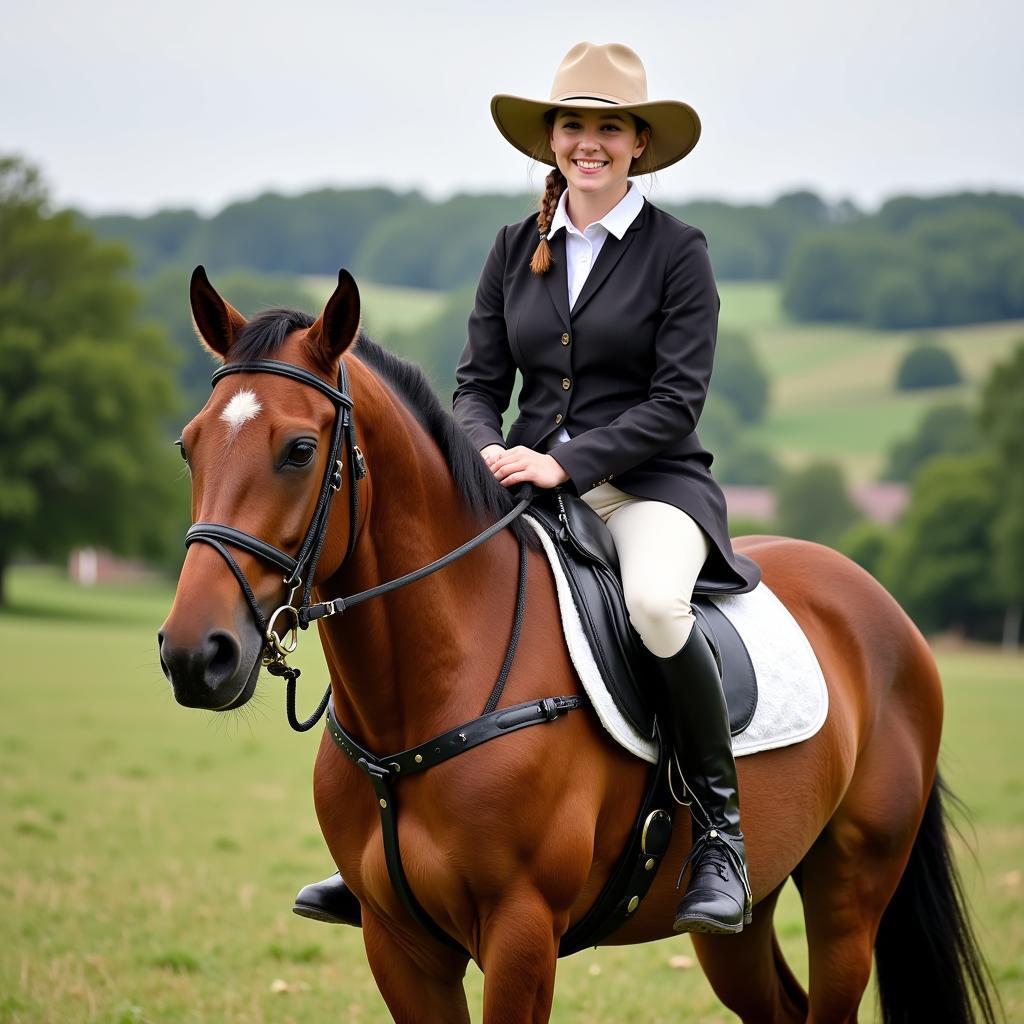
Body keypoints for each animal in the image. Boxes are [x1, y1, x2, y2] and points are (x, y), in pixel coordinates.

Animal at [159, 268, 999, 1019]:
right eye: (188, 446)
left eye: (300, 450)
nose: (195, 656)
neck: (427, 693)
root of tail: (878, 604)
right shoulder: (398, 946)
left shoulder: (521, 933)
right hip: (745, 917)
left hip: (850, 892)